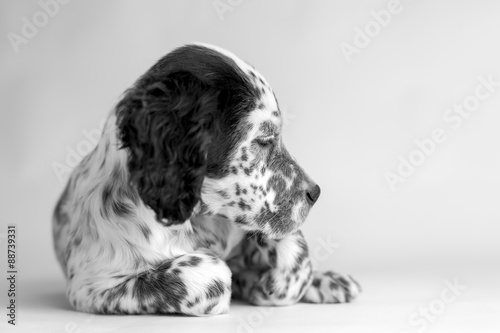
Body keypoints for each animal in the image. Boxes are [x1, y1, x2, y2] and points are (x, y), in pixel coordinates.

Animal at [52, 43, 362, 314]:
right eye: (263, 140)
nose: (315, 193)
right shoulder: (93, 286)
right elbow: (213, 275)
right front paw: (248, 281)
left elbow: (293, 249)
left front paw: (273, 282)